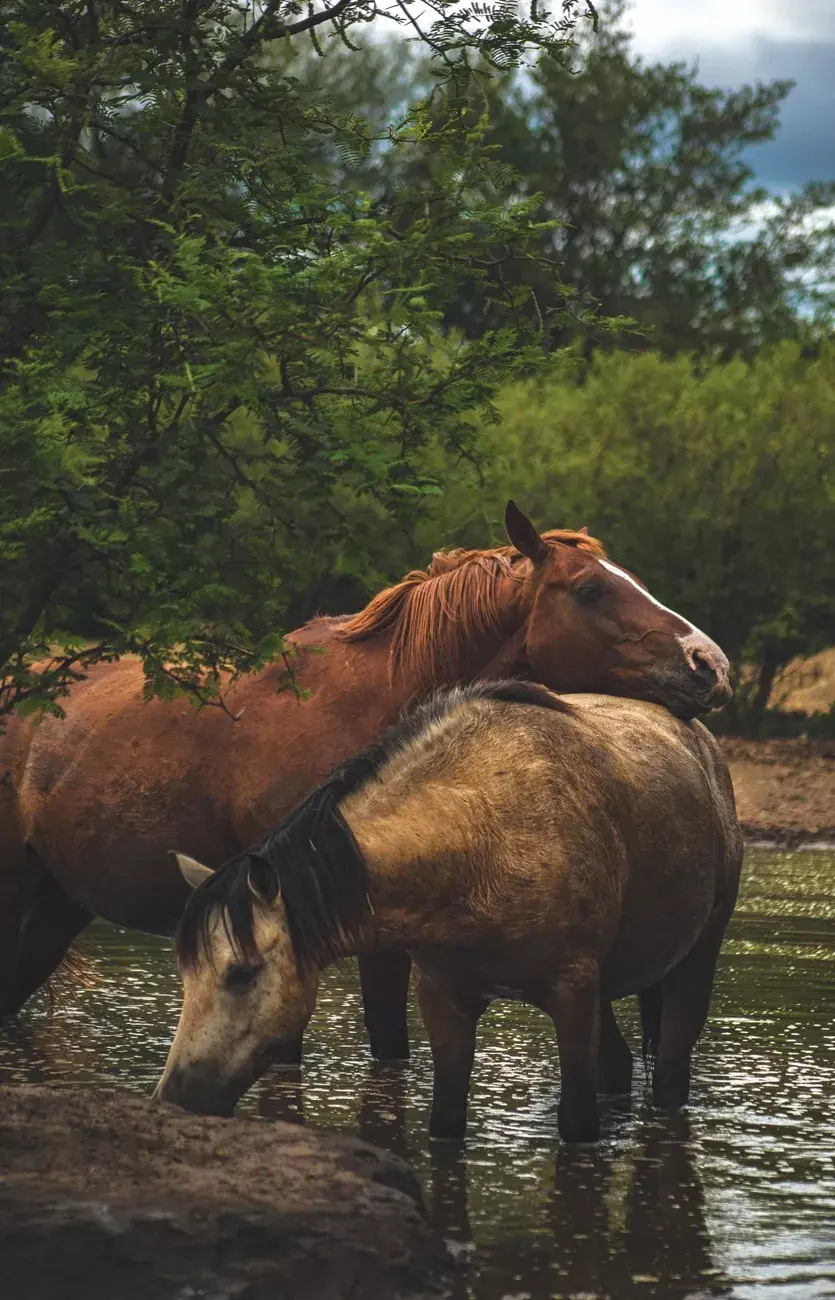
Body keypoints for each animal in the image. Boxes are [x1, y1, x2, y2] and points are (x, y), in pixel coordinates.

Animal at [152, 676, 738, 1144]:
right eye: (185, 976)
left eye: (242, 973)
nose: (174, 1100)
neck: (485, 834)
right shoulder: (444, 998)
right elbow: (446, 1124)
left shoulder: (572, 995)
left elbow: (577, 1125)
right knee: (618, 1067)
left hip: (694, 961)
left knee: (670, 1075)